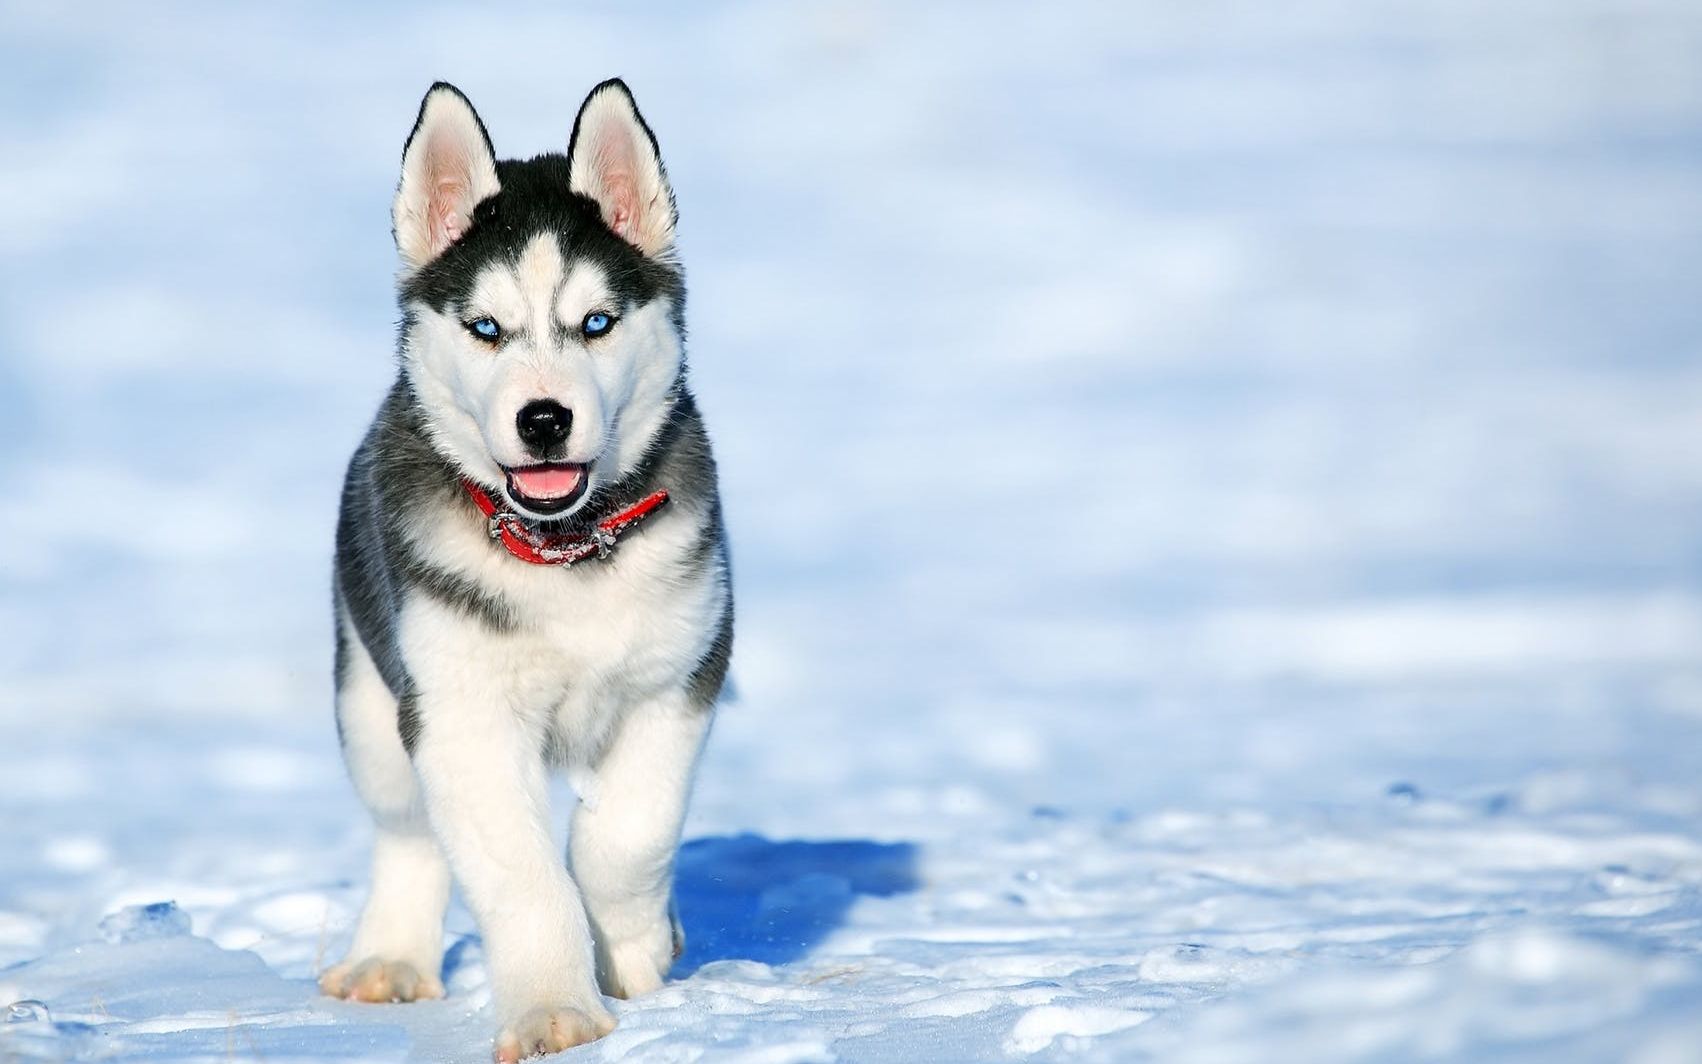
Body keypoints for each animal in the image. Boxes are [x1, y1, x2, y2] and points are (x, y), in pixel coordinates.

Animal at [319, 78, 731, 1055]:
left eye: (596, 323)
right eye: (485, 329)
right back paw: (389, 957)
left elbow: (628, 838)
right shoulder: (460, 713)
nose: (544, 419)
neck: (562, 552)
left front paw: (633, 948)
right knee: (407, 831)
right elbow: (521, 874)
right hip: (369, 697)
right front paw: (556, 1009)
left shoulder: (679, 677)